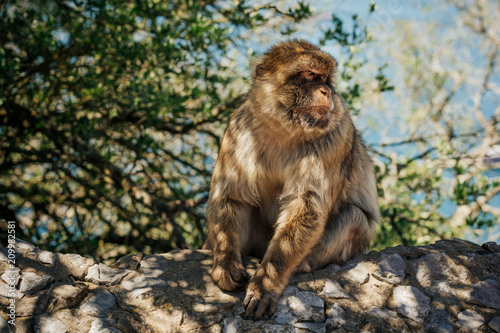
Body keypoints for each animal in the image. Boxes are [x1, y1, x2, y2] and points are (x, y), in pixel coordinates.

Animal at [203, 39, 378, 320]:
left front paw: (266, 283)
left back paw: (302, 265)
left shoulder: (335, 135)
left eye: (325, 79)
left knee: (355, 216)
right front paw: (224, 264)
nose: (326, 92)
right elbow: (231, 197)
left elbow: (306, 207)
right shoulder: (238, 128)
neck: (285, 127)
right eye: (309, 74)